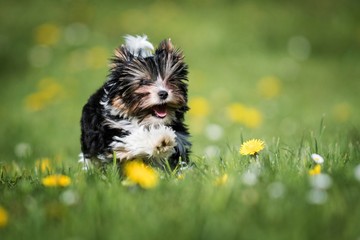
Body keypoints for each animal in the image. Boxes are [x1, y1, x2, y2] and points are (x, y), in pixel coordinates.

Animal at [79, 34, 191, 170]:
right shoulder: (113, 136)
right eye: (143, 82)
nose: (163, 93)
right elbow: (133, 138)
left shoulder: (180, 138)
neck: (149, 122)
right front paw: (161, 139)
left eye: (171, 80)